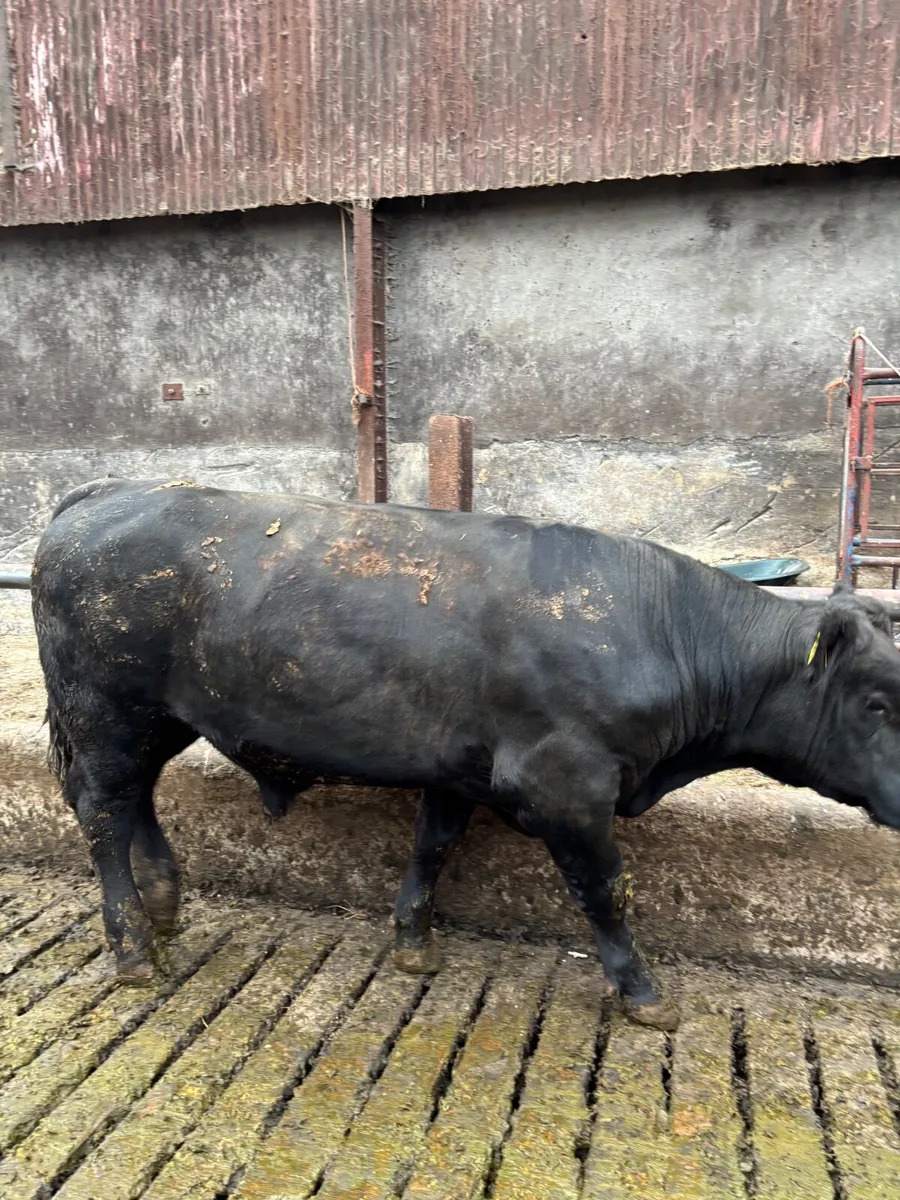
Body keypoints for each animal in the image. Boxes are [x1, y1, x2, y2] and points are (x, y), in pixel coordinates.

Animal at [30, 477, 900, 1032]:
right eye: (878, 701)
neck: (655, 627)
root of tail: (105, 491)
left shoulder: (458, 764)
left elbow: (434, 846)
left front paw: (413, 943)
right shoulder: (565, 785)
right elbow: (606, 892)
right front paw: (643, 991)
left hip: (155, 715)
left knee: (137, 796)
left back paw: (165, 903)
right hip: (102, 708)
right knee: (103, 811)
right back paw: (133, 946)